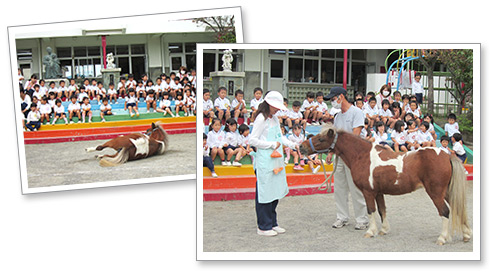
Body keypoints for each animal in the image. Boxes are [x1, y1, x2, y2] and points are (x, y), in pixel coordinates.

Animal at [298, 123, 470, 244]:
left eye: (320, 139)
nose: (301, 147)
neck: (362, 155)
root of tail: (446, 155)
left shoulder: (368, 192)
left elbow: (371, 210)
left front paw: (370, 232)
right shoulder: (378, 192)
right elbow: (382, 210)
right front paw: (384, 230)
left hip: (435, 193)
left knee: (445, 212)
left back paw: (442, 238)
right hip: (446, 192)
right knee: (458, 208)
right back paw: (467, 235)